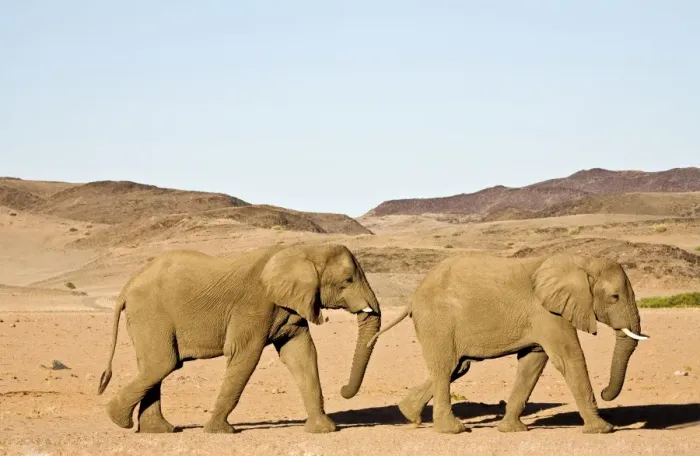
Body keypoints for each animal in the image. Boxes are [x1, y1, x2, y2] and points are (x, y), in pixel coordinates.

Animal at [96, 243, 382, 434]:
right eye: (348, 280)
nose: (344, 390)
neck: (302, 249)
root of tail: (127, 286)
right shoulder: (254, 305)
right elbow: (245, 355)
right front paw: (219, 431)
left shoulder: (291, 305)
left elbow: (302, 354)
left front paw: (323, 429)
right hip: (151, 313)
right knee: (162, 364)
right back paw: (118, 420)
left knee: (155, 366)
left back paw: (159, 430)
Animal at [369, 252, 649, 434]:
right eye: (614, 297)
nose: (604, 392)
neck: (579, 262)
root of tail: (414, 296)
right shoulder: (547, 312)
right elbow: (569, 358)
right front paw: (603, 429)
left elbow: (532, 363)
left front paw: (511, 430)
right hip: (437, 321)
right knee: (445, 368)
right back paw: (453, 430)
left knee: (457, 367)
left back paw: (408, 414)